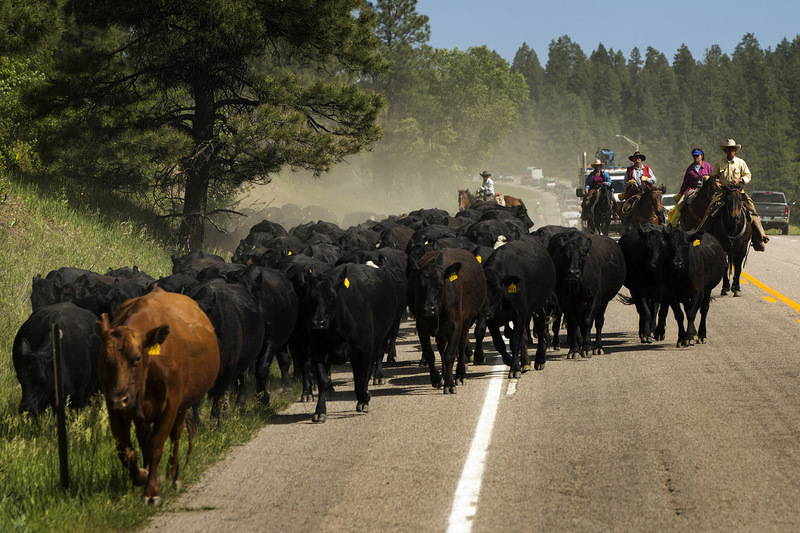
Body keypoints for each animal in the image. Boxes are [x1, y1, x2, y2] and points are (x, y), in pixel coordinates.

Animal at [98, 286, 220, 502]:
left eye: (137, 358)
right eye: (106, 359)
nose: (119, 399)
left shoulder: (170, 407)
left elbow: (156, 446)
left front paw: (151, 491)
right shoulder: (115, 411)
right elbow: (126, 450)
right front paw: (143, 475)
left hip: (182, 407)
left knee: (176, 436)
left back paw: (174, 476)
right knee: (143, 438)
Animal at [298, 262, 398, 420]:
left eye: (332, 297)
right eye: (310, 298)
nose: (318, 323)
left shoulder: (365, 348)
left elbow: (362, 376)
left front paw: (364, 399)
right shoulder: (318, 349)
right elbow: (323, 379)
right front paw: (319, 411)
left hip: (381, 338)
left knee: (370, 366)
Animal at [410, 248, 484, 390]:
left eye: (440, 285)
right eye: (419, 285)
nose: (429, 309)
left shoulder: (456, 324)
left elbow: (450, 353)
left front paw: (450, 383)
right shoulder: (421, 324)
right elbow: (430, 353)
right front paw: (437, 378)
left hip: (465, 322)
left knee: (461, 345)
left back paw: (460, 374)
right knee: (441, 347)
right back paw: (444, 373)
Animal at [478, 240, 552, 374]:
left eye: (497, 289)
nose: (483, 312)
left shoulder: (520, 312)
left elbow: (515, 341)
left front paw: (515, 369)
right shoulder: (492, 319)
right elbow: (499, 343)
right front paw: (509, 360)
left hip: (540, 306)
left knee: (540, 329)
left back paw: (539, 360)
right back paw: (525, 363)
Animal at [552, 230, 624, 358]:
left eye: (583, 255)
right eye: (565, 255)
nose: (573, 272)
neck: (576, 286)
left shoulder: (595, 298)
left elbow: (588, 321)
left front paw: (587, 348)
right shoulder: (564, 300)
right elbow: (573, 323)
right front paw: (574, 350)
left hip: (604, 301)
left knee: (599, 321)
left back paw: (598, 347)